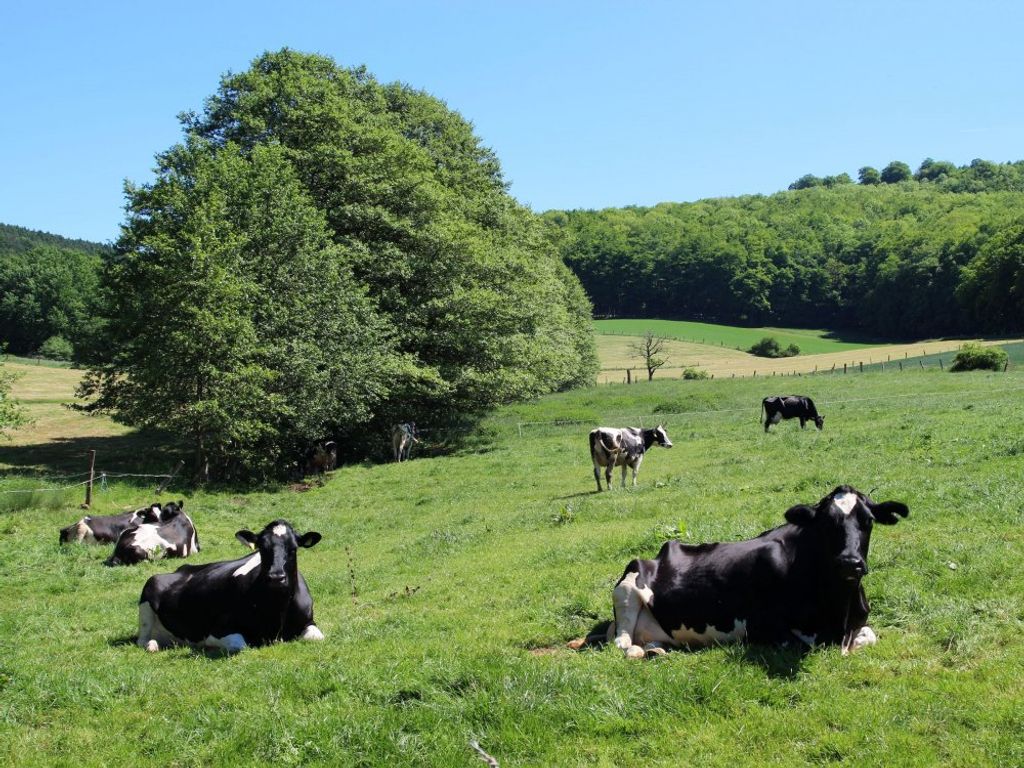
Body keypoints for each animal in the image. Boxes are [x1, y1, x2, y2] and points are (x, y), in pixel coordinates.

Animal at [137, 519, 324, 653]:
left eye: (293, 549)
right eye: (262, 548)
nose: (276, 577)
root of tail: (183, 568)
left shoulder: (308, 621)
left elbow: (318, 638)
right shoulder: (217, 630)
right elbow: (239, 644)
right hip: (149, 589)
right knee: (142, 639)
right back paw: (152, 645)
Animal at [608, 485, 909, 658]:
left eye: (868, 521)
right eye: (825, 523)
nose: (849, 562)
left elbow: (869, 636)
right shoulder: (760, 625)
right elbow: (801, 643)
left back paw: (657, 649)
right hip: (626, 588)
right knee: (622, 642)